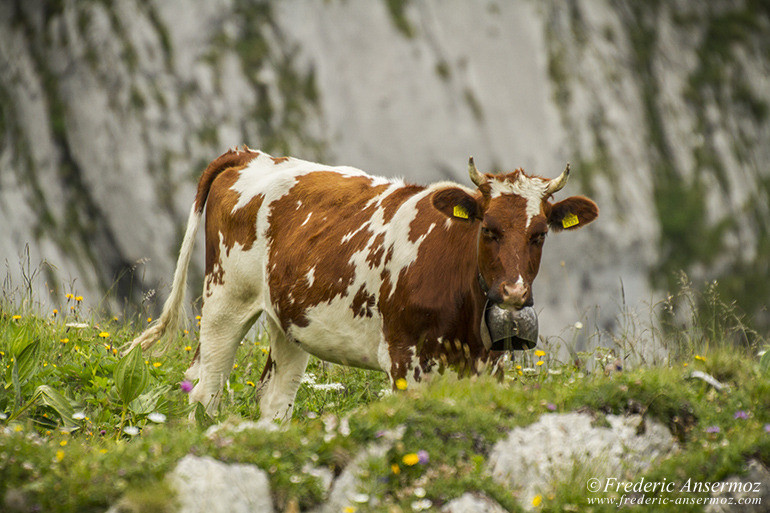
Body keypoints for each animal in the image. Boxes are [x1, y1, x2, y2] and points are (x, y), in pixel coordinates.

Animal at [129, 146, 596, 422]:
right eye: (488, 229)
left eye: (540, 234)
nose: (513, 294)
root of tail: (249, 155)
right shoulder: (405, 359)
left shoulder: (489, 367)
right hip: (225, 299)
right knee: (205, 389)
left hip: (289, 320)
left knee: (273, 397)